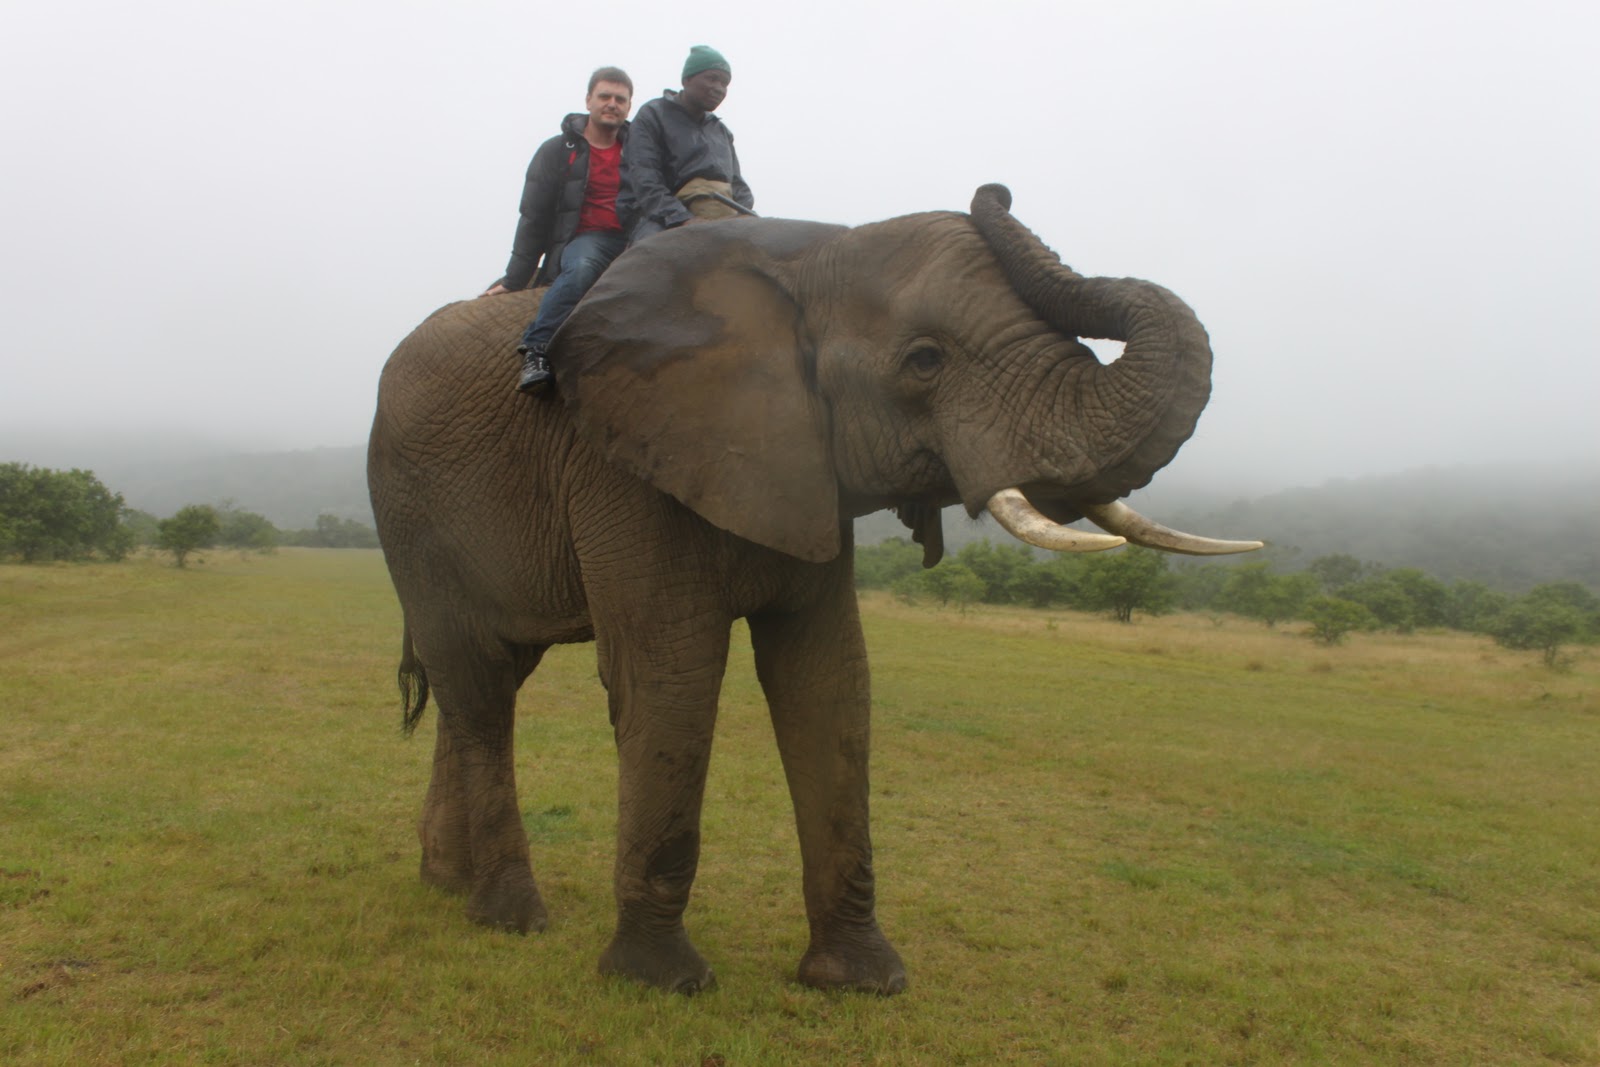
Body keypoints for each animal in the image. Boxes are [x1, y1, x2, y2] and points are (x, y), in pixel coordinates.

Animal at [366, 184, 1260, 996]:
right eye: (925, 360)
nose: (993, 191)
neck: (807, 253)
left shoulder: (806, 469)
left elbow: (829, 680)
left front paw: (860, 981)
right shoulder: (623, 460)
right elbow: (672, 679)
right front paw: (659, 981)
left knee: (481, 684)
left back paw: (446, 882)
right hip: (410, 512)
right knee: (479, 684)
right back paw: (509, 915)